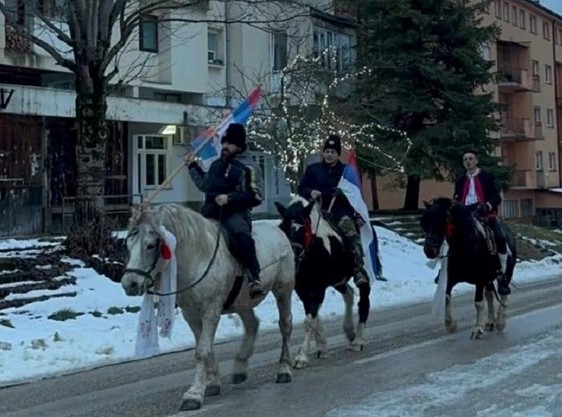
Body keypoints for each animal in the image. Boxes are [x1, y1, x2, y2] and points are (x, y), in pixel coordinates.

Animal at [118, 203, 294, 412]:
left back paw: (284, 370)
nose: (130, 284)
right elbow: (205, 348)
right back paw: (240, 367)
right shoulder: (191, 315)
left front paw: (194, 394)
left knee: (285, 325)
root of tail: (278, 231)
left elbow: (202, 351)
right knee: (252, 324)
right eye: (127, 245)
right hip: (243, 302)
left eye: (150, 245)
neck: (198, 257)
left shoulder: (210, 312)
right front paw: (211, 384)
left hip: (283, 290)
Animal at [274, 196, 372, 368]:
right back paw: (349, 331)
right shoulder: (303, 289)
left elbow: (310, 320)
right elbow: (314, 316)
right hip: (338, 281)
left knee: (364, 297)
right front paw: (321, 347)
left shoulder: (319, 287)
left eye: (303, 229)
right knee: (349, 294)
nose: (292, 259)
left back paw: (358, 339)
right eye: (283, 227)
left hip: (358, 273)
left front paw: (302, 357)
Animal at [418, 197, 516, 338]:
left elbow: (479, 303)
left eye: (443, 221)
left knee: (503, 293)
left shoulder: (480, 279)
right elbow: (446, 297)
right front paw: (451, 325)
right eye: (424, 222)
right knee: (490, 295)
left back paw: (500, 322)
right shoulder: (451, 279)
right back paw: (491, 322)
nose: (429, 250)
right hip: (489, 279)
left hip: (506, 274)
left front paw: (477, 329)